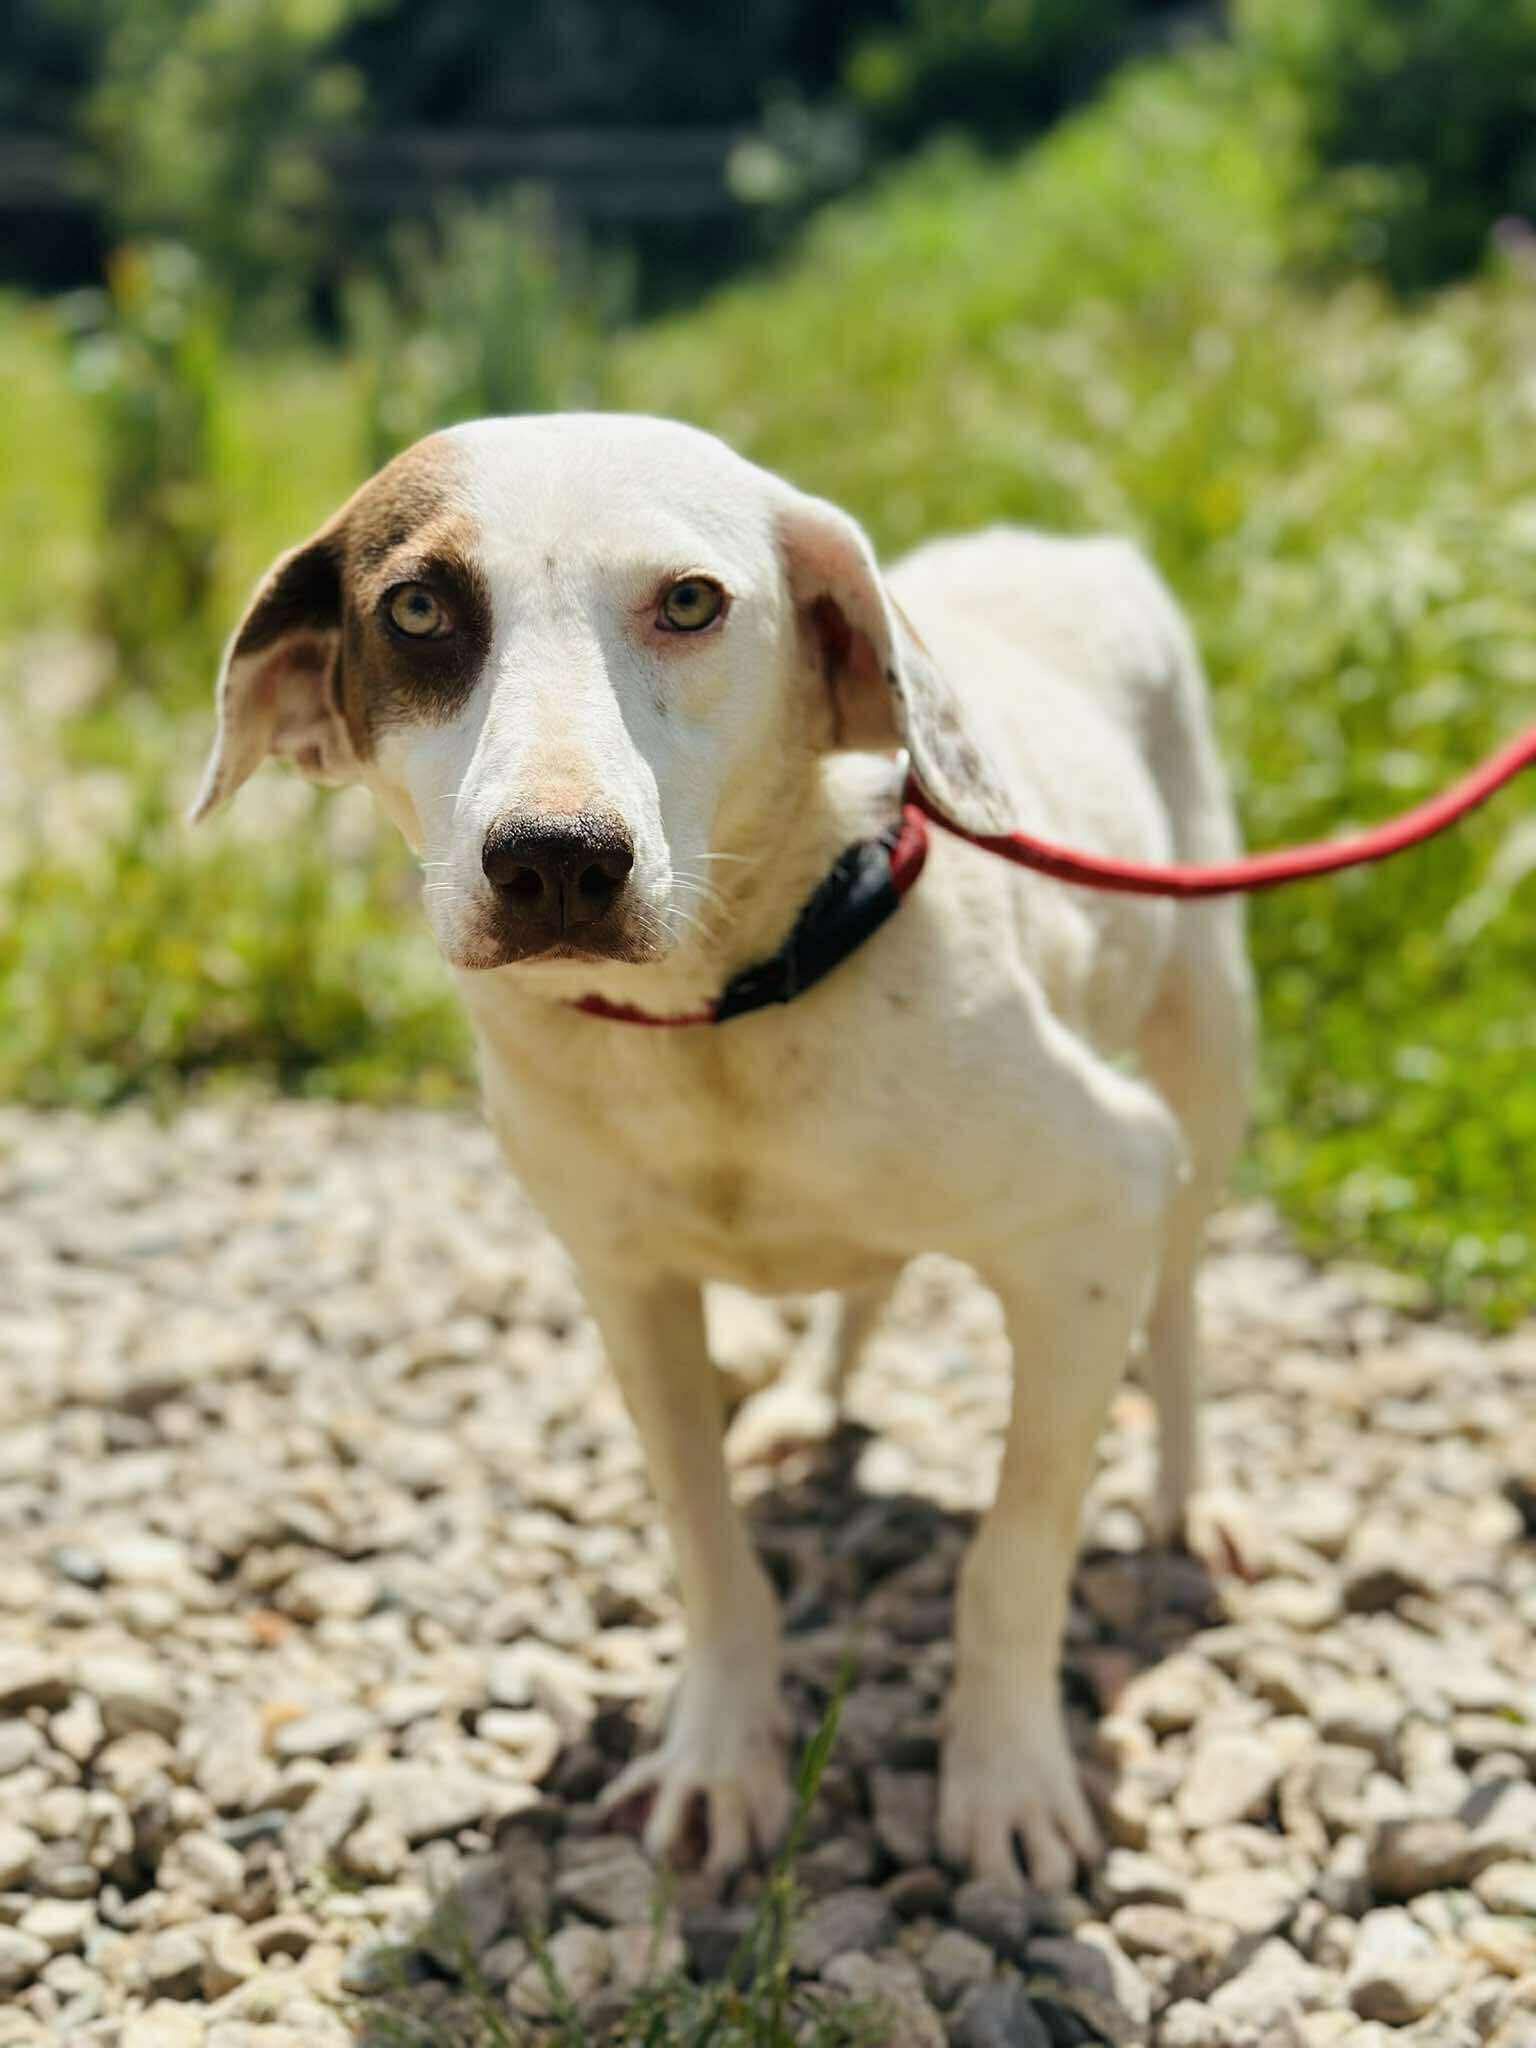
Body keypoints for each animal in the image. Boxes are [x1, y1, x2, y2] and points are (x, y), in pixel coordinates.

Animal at [194, 413, 1254, 1890]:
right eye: (416, 608)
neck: (715, 1025)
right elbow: (709, 1553)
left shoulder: (1094, 1215)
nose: (555, 860)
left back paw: (1185, 1494)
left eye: (690, 601)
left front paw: (1005, 1781)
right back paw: (810, 1400)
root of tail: (1065, 542)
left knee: (1185, 1293)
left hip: (1204, 1055)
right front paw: (718, 1757)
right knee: (868, 1278)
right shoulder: (628, 1284)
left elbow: (1011, 1556)